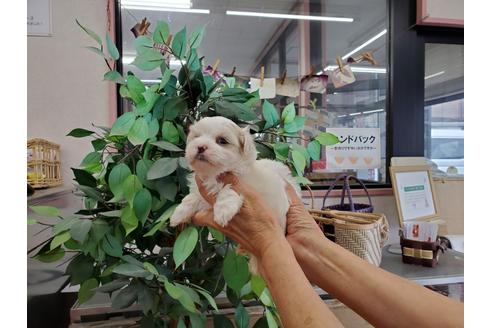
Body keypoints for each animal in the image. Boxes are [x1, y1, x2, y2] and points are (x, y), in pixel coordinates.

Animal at [169, 116, 300, 274]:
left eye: (222, 141)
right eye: (197, 137)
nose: (200, 146)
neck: (215, 174)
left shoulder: (244, 185)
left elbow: (228, 190)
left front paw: (223, 211)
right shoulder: (204, 190)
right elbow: (192, 197)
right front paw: (179, 214)